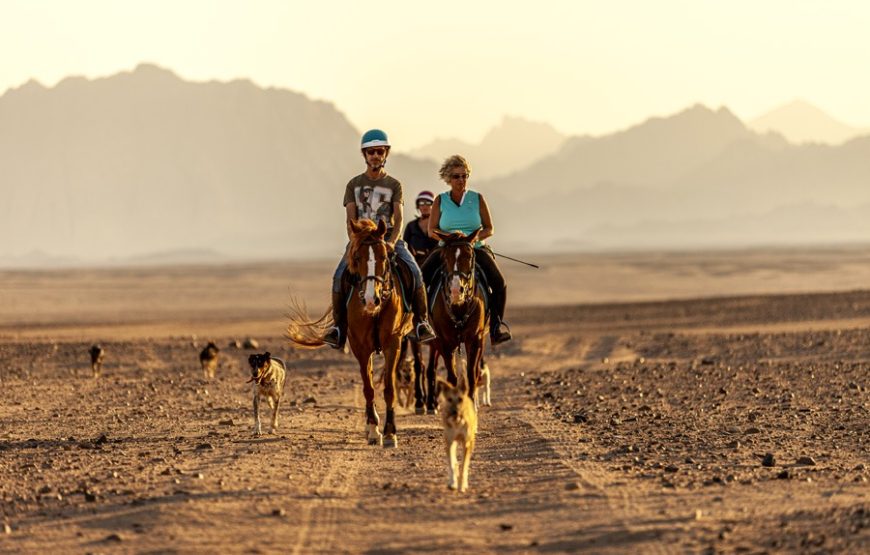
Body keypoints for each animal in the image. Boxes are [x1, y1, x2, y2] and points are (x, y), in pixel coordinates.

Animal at [287, 219, 412, 447]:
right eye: (357, 257)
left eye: (384, 256)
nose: (372, 299)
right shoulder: (360, 347)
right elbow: (368, 388)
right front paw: (373, 430)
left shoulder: (393, 343)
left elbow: (389, 387)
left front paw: (390, 433)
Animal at [424, 229, 488, 411]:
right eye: (444, 257)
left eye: (470, 256)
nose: (455, 291)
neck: (458, 307)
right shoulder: (444, 342)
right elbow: (452, 377)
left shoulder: (475, 339)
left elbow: (471, 374)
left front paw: (472, 404)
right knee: (430, 369)